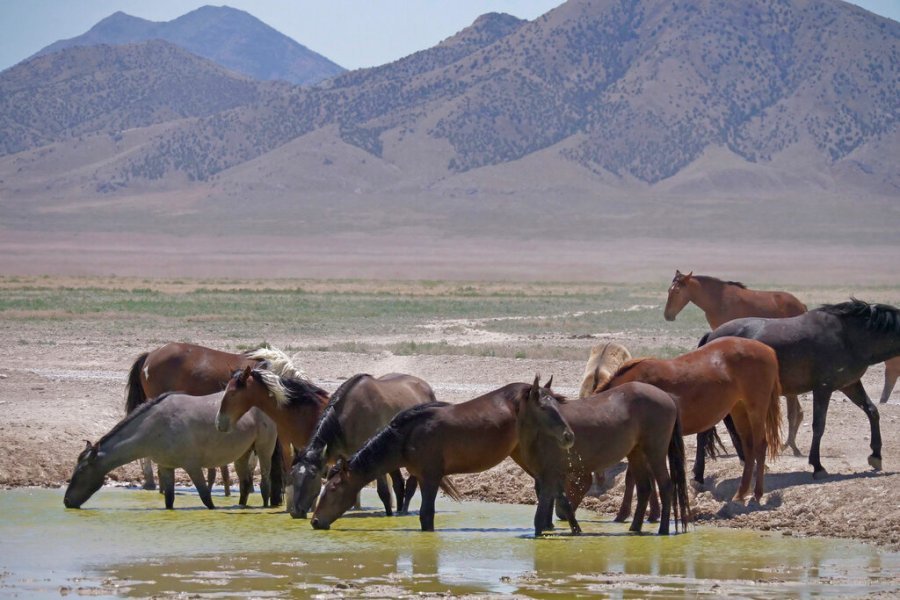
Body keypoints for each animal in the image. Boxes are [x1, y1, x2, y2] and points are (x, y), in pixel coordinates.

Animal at [64, 391, 276, 509]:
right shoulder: (166, 467)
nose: (66, 501)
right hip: (243, 454)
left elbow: (206, 498)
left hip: (264, 451)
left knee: (265, 483)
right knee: (245, 484)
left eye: (81, 471)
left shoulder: (192, 467)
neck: (155, 426)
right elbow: (169, 500)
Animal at [288, 372, 436, 519]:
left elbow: (383, 492)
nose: (296, 512)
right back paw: (399, 510)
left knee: (411, 484)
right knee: (399, 484)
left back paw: (404, 511)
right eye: (293, 474)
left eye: (313, 474)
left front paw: (388, 515)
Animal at [309, 382, 540, 531]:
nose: (315, 521)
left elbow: (426, 515)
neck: (406, 437)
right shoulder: (421, 476)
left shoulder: (431, 477)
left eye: (332, 489)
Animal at [595, 337, 782, 520]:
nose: (598, 484)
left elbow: (634, 478)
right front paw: (652, 512)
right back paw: (741, 494)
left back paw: (757, 494)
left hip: (755, 409)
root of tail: (767, 349)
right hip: (739, 409)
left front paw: (624, 513)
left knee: (760, 446)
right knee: (749, 449)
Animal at [701, 299, 900, 478]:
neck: (848, 336)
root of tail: (711, 336)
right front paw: (817, 466)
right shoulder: (823, 388)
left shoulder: (850, 385)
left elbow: (872, 411)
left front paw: (876, 456)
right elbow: (819, 425)